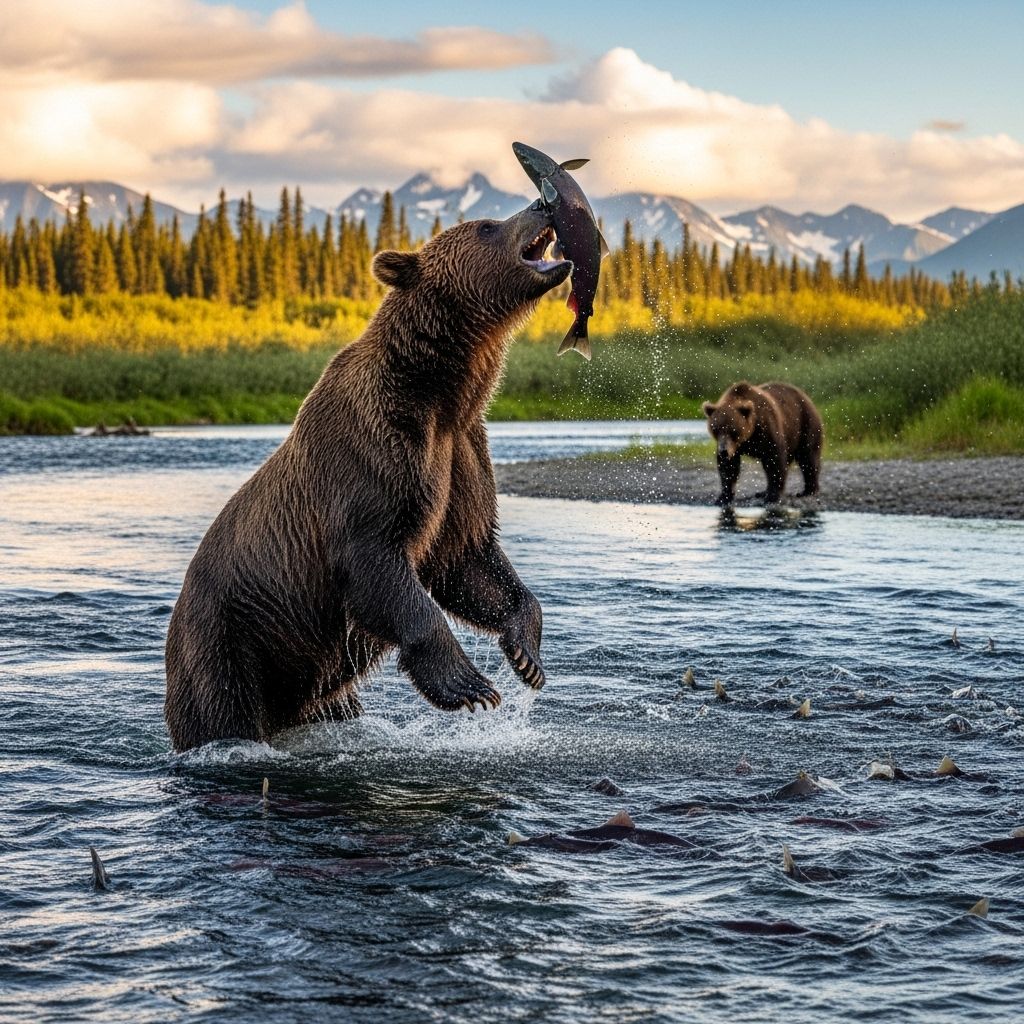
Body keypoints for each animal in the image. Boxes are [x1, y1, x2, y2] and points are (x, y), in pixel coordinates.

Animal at [164, 207, 571, 751]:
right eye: (486, 226)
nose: (542, 205)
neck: (441, 392)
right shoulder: (375, 454)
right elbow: (378, 565)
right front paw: (469, 685)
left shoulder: (462, 453)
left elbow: (467, 558)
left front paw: (526, 654)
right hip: (227, 641)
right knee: (222, 711)